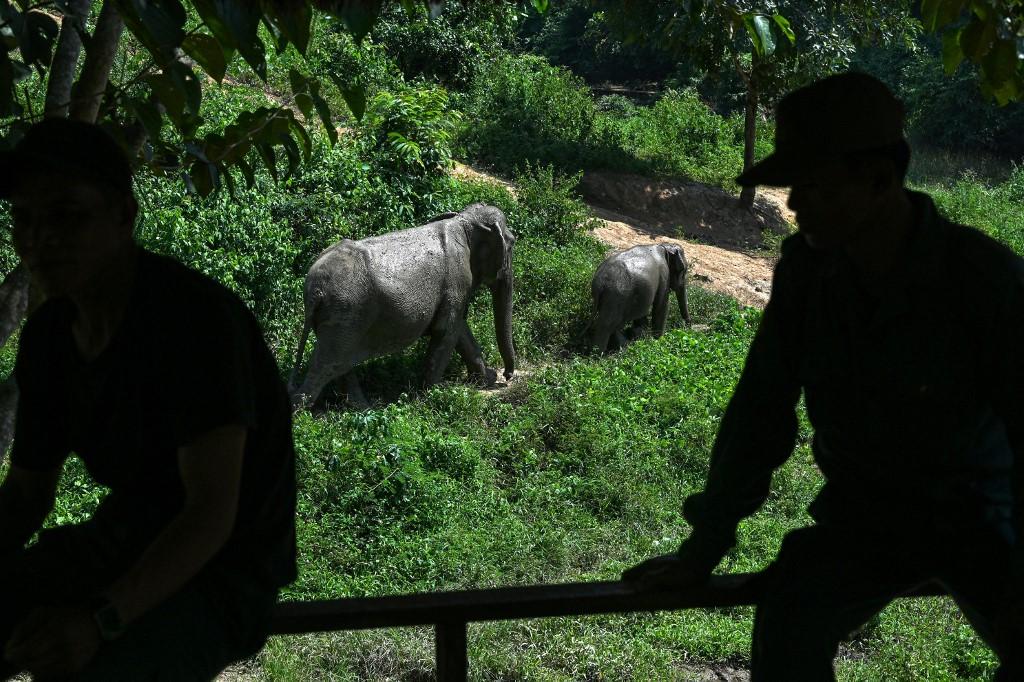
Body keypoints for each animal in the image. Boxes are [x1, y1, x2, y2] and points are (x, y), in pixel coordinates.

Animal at [286, 201, 512, 403]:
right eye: (511, 244)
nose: (506, 376)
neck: (462, 221)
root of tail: (314, 287)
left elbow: (459, 330)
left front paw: (485, 380)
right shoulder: (457, 278)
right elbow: (446, 330)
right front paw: (430, 396)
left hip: (338, 318)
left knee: (338, 364)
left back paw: (362, 409)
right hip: (345, 313)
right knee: (326, 365)